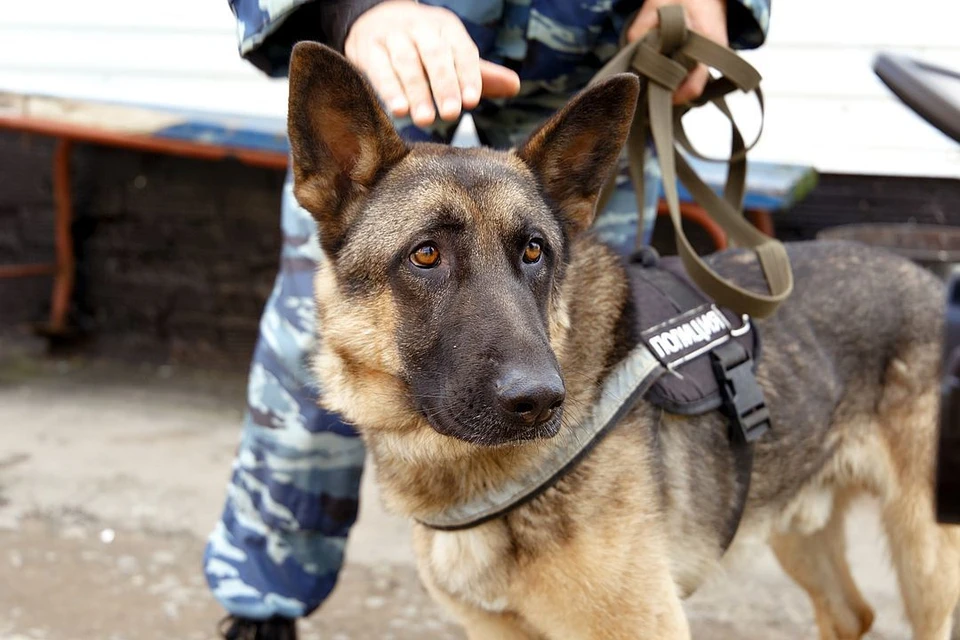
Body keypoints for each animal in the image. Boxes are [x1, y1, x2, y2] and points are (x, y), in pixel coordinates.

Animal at [284, 42, 960, 636]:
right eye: (425, 255)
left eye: (534, 251)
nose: (539, 401)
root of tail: (931, 282)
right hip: (800, 527)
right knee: (851, 615)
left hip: (926, 557)